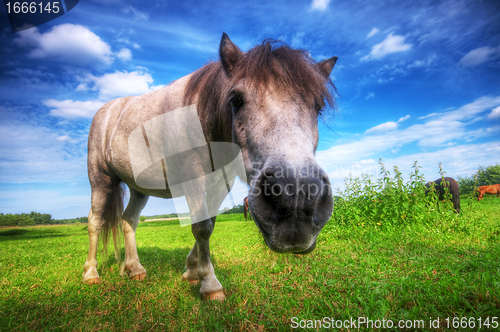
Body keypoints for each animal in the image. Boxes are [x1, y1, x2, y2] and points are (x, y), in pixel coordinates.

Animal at [84, 33, 338, 300]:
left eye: (318, 107)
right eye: (235, 100)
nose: (296, 199)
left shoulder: (221, 184)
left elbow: (210, 224)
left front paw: (191, 270)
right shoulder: (192, 179)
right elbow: (201, 227)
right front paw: (210, 283)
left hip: (138, 189)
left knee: (128, 221)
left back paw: (134, 268)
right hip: (101, 180)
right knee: (95, 221)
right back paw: (91, 273)